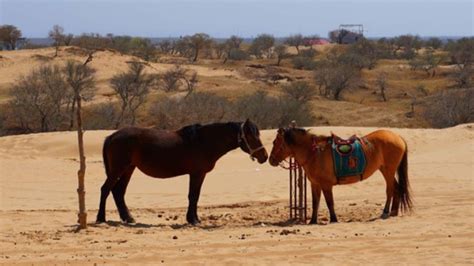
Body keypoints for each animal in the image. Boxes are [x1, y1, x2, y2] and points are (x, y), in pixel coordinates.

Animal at [97, 119, 266, 225]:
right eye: (251, 136)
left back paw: (128, 218)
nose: (264, 156)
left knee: (118, 192)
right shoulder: (197, 174)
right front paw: (193, 220)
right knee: (105, 189)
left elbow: (195, 196)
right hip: (118, 169)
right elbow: (193, 196)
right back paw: (101, 218)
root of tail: (112, 136)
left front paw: (194, 218)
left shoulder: (199, 174)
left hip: (128, 169)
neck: (203, 142)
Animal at [268, 128, 412, 223]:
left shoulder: (326, 185)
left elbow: (329, 202)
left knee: (390, 190)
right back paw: (393, 212)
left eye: (275, 142)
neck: (314, 153)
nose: (271, 160)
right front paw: (313, 221)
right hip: (385, 170)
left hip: (388, 170)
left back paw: (386, 211)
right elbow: (315, 202)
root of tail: (398, 137)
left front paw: (333, 219)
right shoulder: (315, 184)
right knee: (397, 189)